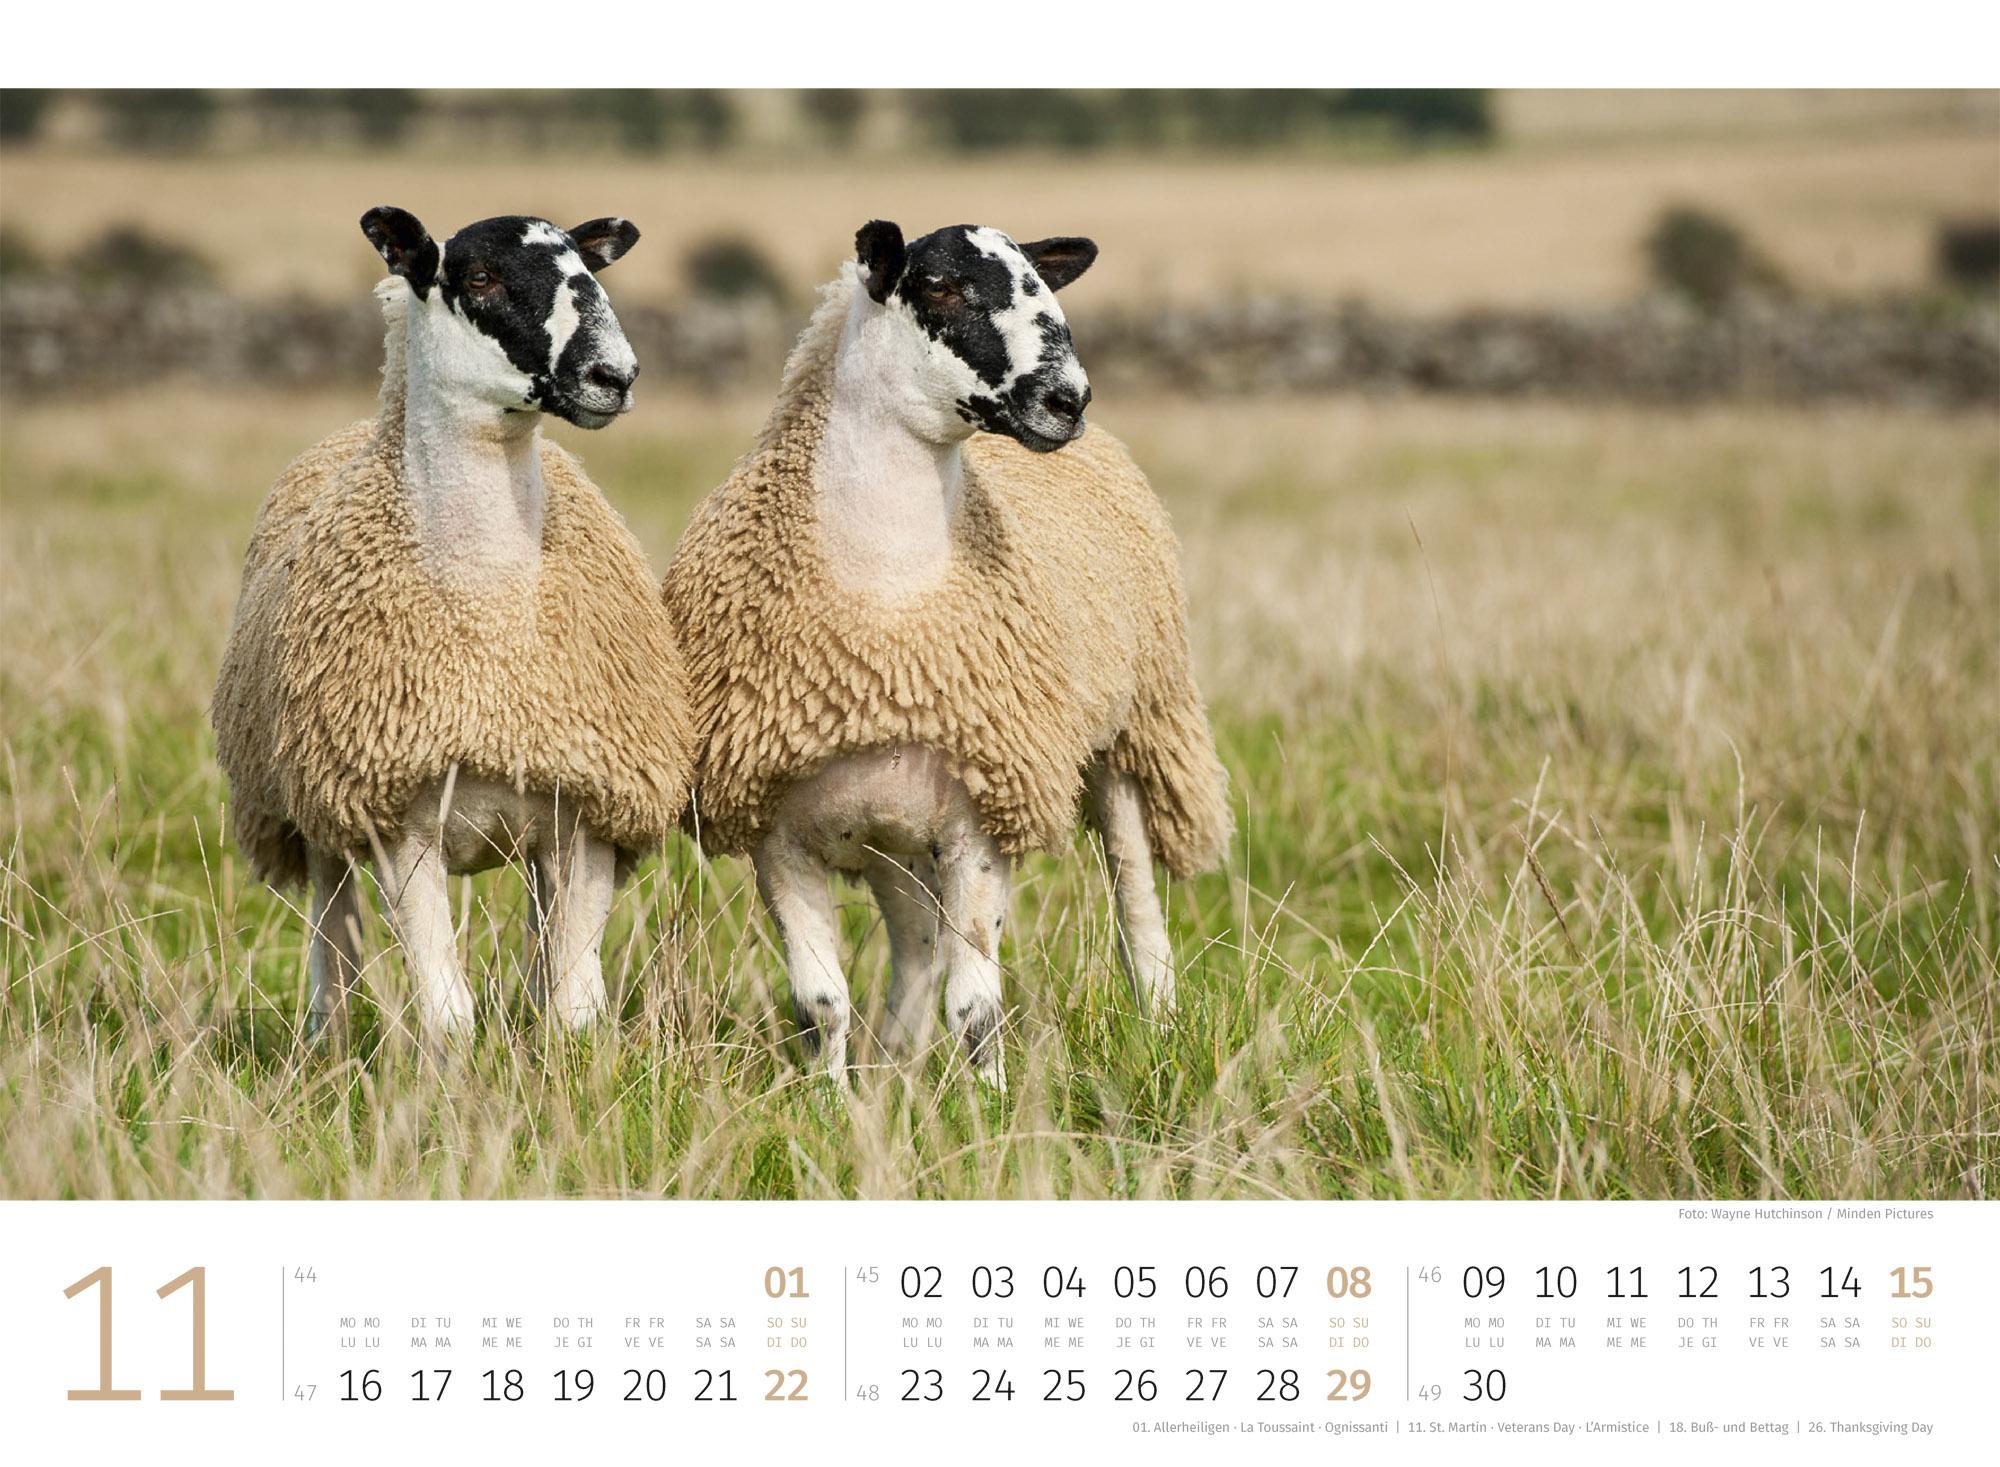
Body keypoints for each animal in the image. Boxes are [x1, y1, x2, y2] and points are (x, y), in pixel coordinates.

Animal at [212, 207, 694, 1045]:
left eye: (588, 269)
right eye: (480, 277)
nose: (614, 376)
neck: (489, 616)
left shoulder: (590, 814)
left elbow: (574, 1005)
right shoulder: (399, 821)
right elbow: (448, 1014)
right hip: (314, 808)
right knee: (332, 930)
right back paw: (327, 1042)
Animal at [662, 220, 1230, 1086]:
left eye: (1043, 282)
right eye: (940, 287)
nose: (1068, 400)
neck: (889, 605)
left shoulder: (983, 815)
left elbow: (977, 1006)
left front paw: (989, 1102)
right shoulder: (776, 829)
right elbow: (821, 1004)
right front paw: (831, 1101)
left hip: (1133, 729)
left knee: (1135, 899)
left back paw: (1160, 1026)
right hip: (892, 832)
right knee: (916, 944)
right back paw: (894, 1061)